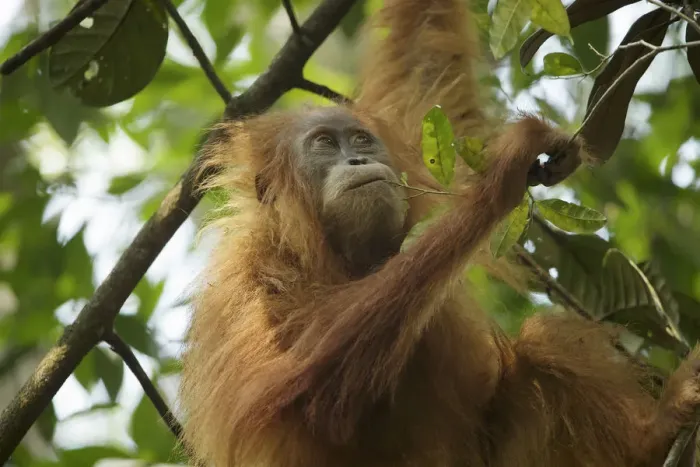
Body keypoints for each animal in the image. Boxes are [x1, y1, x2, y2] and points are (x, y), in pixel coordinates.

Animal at [178, 0, 700, 465]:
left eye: (361, 139)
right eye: (324, 144)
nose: (357, 159)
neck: (343, 256)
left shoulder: (418, 147)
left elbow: (424, 60)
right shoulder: (248, 280)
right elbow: (300, 390)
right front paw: (503, 174)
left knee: (541, 346)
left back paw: (650, 441)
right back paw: (656, 434)